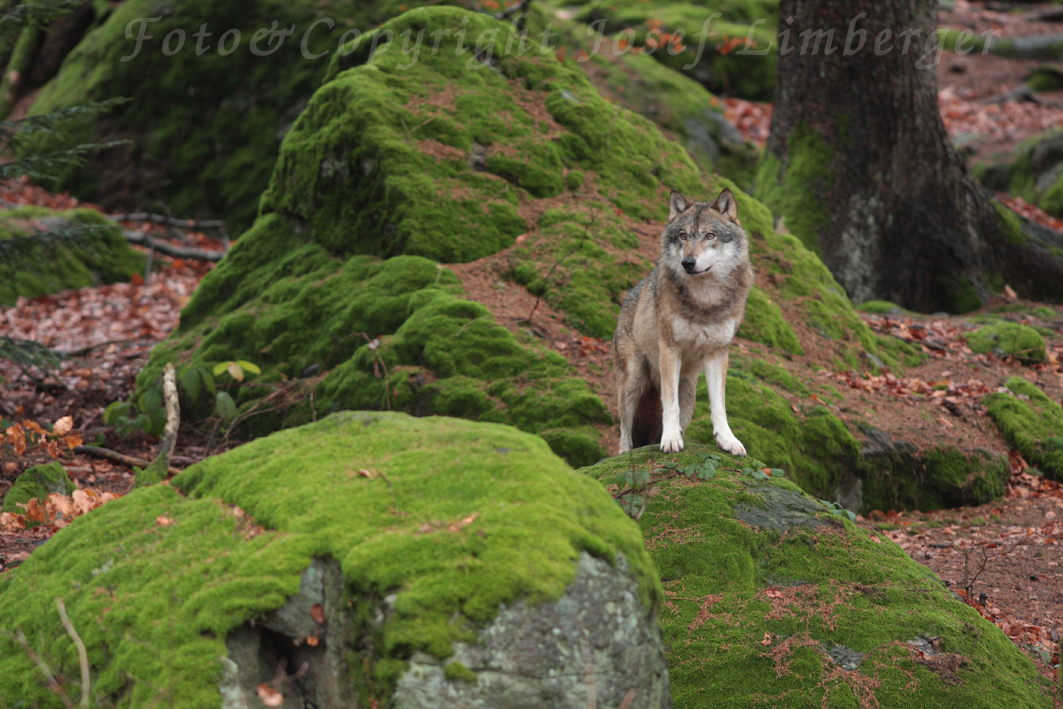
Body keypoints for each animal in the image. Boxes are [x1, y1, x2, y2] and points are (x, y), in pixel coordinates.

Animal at [612, 188, 752, 454]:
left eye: (710, 236)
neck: (705, 300)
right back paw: (626, 453)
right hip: (633, 379)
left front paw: (727, 440)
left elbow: (719, 405)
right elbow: (670, 403)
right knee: (625, 432)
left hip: (689, 392)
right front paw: (670, 440)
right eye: (683, 236)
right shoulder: (670, 349)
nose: (687, 262)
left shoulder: (718, 353)